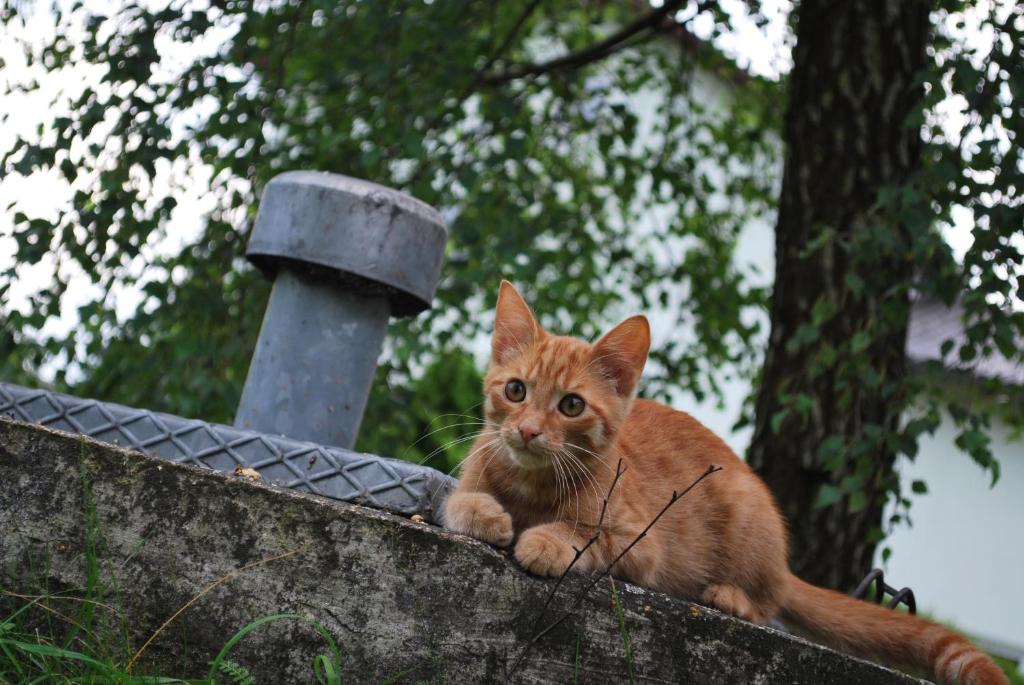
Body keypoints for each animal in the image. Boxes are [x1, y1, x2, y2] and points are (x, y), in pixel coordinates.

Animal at [448, 280, 1007, 683]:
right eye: (515, 391)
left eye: (571, 405)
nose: (526, 431)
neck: (531, 487)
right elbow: (459, 502)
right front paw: (485, 513)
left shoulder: (641, 546)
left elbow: (587, 535)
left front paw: (546, 540)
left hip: (744, 509)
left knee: (772, 600)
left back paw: (732, 596)